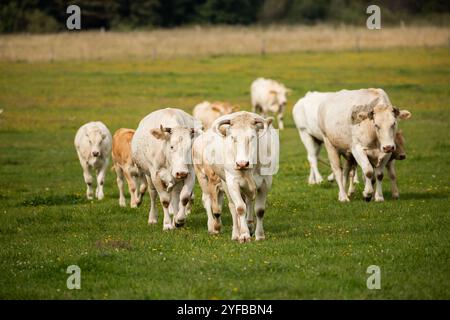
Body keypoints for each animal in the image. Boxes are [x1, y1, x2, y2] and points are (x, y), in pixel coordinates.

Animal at [192, 111, 278, 241]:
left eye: (252, 137)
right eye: (233, 138)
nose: (242, 163)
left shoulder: (265, 183)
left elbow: (259, 210)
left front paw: (259, 235)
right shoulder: (232, 182)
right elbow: (240, 208)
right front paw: (244, 235)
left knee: (248, 202)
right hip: (211, 180)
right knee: (230, 206)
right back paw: (235, 233)